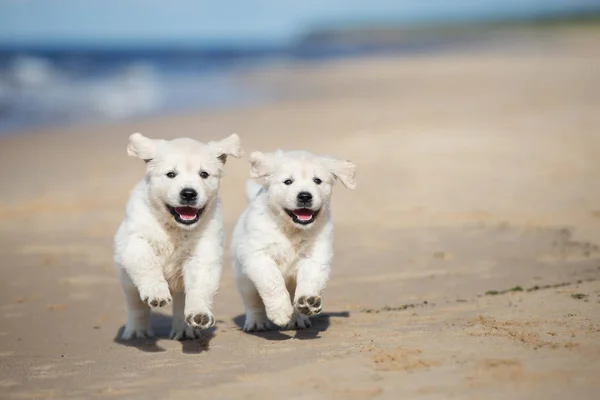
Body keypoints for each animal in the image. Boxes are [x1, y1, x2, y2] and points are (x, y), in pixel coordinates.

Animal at [113, 133, 243, 340]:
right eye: (171, 174)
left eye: (204, 174)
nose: (189, 193)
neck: (175, 227)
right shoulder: (134, 241)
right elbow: (147, 262)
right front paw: (156, 293)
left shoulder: (203, 254)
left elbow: (199, 285)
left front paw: (199, 313)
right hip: (127, 280)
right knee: (136, 305)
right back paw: (136, 331)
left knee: (182, 300)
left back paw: (184, 330)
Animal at [231, 150, 354, 332]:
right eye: (288, 181)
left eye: (317, 180)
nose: (305, 196)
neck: (292, 230)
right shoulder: (258, 256)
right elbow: (272, 281)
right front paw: (280, 312)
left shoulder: (315, 255)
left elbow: (310, 278)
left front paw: (308, 301)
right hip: (244, 280)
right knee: (252, 302)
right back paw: (256, 323)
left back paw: (298, 318)